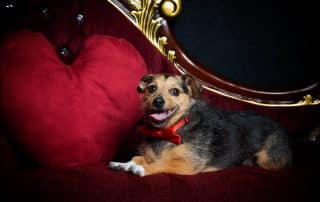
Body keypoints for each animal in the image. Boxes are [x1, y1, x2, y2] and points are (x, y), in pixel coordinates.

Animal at [109, 74, 292, 177]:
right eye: (151, 88)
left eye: (175, 91)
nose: (158, 101)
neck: (168, 131)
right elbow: (137, 158)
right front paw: (124, 164)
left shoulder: (188, 164)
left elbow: (163, 163)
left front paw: (142, 168)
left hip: (266, 159)